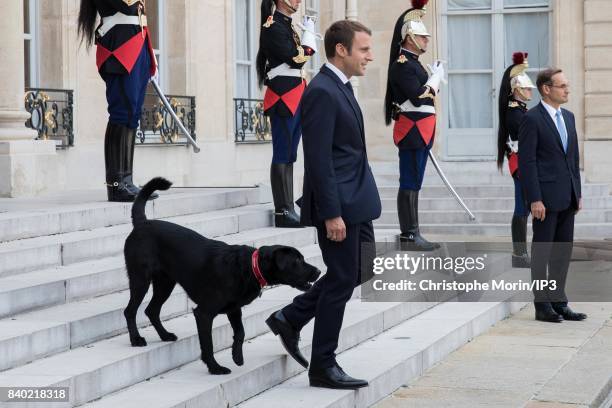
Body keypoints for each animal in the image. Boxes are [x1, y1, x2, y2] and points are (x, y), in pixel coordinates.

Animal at [120, 177, 320, 374]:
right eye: (297, 261)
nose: (318, 271)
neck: (249, 267)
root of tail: (142, 223)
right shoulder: (203, 313)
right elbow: (208, 343)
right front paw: (214, 367)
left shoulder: (234, 308)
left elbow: (240, 332)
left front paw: (237, 357)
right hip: (140, 279)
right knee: (130, 310)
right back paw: (136, 339)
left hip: (165, 283)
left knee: (151, 310)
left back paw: (164, 335)